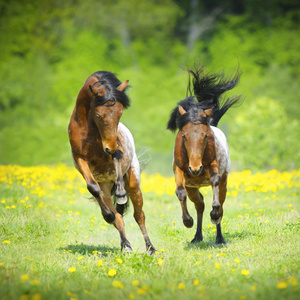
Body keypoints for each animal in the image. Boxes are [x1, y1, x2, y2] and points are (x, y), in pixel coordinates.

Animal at [69, 71, 156, 254]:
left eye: (120, 113)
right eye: (99, 115)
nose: (110, 147)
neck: (88, 130)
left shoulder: (116, 150)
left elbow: (117, 159)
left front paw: (121, 193)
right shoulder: (80, 160)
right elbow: (92, 187)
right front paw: (108, 215)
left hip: (134, 183)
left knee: (139, 215)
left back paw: (150, 248)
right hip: (105, 188)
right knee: (118, 217)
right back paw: (126, 245)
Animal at [166, 65, 241, 244]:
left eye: (205, 135)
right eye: (184, 135)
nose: (195, 168)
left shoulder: (214, 167)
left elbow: (215, 183)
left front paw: (214, 215)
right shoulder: (179, 171)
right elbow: (180, 192)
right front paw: (187, 221)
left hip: (224, 183)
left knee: (220, 203)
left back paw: (219, 237)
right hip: (192, 188)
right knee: (199, 205)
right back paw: (197, 236)